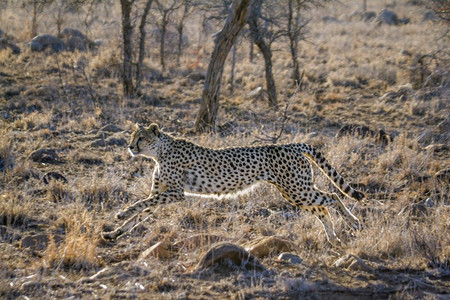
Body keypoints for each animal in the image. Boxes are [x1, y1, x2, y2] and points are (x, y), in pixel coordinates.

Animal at [102, 123, 366, 244]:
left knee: (334, 197)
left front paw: (120, 214)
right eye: (132, 137)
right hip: (295, 192)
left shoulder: (176, 193)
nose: (130, 147)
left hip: (297, 190)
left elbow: (139, 205)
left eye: (141, 138)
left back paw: (353, 222)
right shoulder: (162, 193)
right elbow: (141, 211)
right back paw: (333, 238)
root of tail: (291, 144)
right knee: (322, 208)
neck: (159, 152)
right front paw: (115, 233)